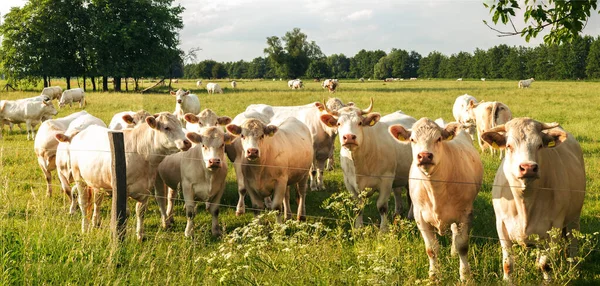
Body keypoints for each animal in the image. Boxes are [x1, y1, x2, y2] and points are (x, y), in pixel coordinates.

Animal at [65, 111, 190, 239]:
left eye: (180, 125)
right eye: (166, 127)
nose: (187, 142)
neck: (140, 152)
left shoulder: (146, 189)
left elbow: (140, 212)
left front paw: (140, 235)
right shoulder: (122, 190)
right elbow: (123, 213)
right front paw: (120, 234)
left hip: (97, 182)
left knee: (97, 201)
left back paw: (95, 222)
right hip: (79, 178)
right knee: (84, 203)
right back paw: (85, 228)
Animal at [318, 98, 418, 230]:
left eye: (360, 123)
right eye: (339, 123)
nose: (349, 137)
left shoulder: (386, 180)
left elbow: (382, 207)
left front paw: (383, 229)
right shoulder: (349, 183)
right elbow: (358, 208)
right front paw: (358, 227)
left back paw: (410, 215)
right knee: (397, 192)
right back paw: (397, 213)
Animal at [390, 118, 482, 282]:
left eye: (439, 139)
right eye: (412, 139)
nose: (425, 155)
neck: (436, 189)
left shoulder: (465, 214)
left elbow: (462, 246)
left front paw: (465, 276)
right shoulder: (420, 217)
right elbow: (431, 249)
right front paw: (433, 275)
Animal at [478, 118, 584, 282]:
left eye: (539, 145)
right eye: (509, 146)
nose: (528, 167)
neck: (525, 201)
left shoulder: (554, 228)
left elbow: (545, 265)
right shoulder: (501, 225)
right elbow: (508, 264)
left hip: (574, 217)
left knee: (573, 243)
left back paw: (573, 270)